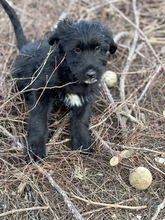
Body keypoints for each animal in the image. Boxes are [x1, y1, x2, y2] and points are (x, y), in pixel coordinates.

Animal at [1, 0, 117, 161]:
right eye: (77, 49)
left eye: (98, 48)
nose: (91, 74)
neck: (69, 74)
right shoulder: (41, 93)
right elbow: (38, 121)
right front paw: (35, 151)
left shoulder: (85, 98)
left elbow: (81, 121)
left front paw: (82, 144)